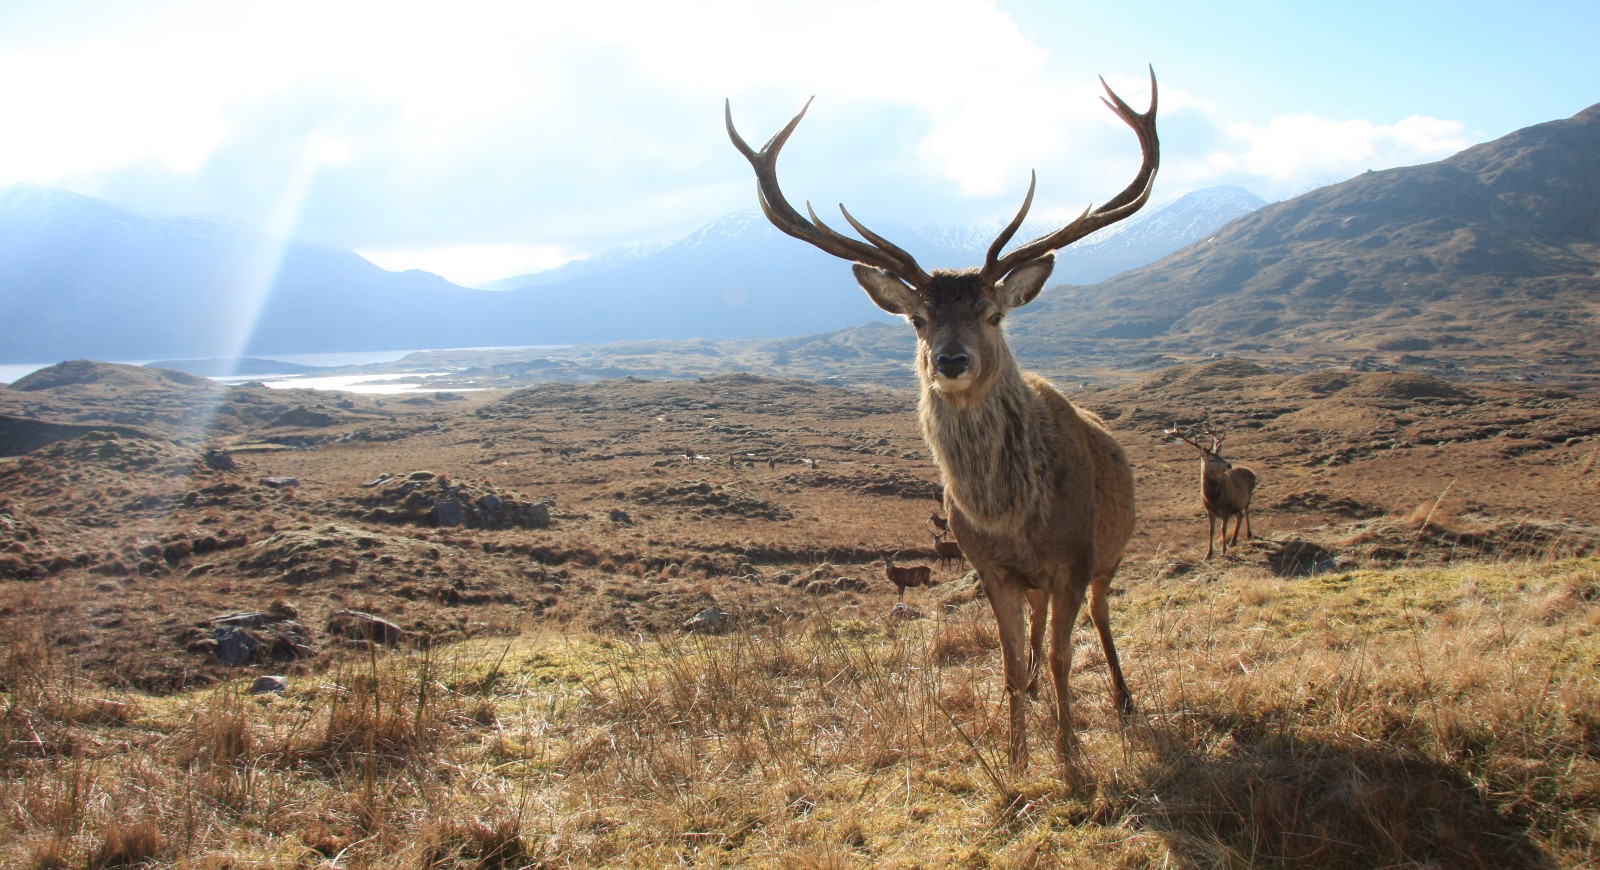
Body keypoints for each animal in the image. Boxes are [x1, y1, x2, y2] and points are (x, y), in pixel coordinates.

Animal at [729, 69, 1164, 774]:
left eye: (993, 312)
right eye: (918, 318)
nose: (951, 360)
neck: (1011, 516)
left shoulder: (1074, 558)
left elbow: (1064, 657)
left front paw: (1070, 756)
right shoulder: (989, 566)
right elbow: (1011, 663)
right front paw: (1016, 759)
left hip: (1111, 553)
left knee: (1100, 619)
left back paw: (1124, 700)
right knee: (1038, 632)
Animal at [1171, 422, 1254, 556]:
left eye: (1220, 455)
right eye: (1212, 459)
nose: (1229, 465)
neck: (1213, 499)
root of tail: (1251, 471)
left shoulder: (1226, 507)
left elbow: (1223, 528)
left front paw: (1223, 551)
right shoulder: (1209, 510)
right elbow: (1211, 530)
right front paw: (1208, 554)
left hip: (1248, 495)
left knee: (1246, 512)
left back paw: (1248, 534)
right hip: (1236, 505)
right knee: (1239, 516)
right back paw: (1233, 541)